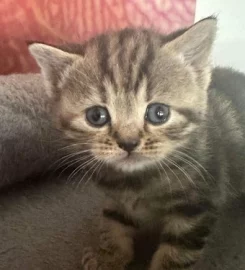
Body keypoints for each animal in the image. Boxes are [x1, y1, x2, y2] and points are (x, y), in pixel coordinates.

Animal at [28, 17, 245, 270]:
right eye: (96, 116)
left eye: (159, 113)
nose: (128, 142)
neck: (136, 182)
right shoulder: (114, 199)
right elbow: (113, 223)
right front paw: (109, 257)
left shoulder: (196, 206)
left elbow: (176, 253)